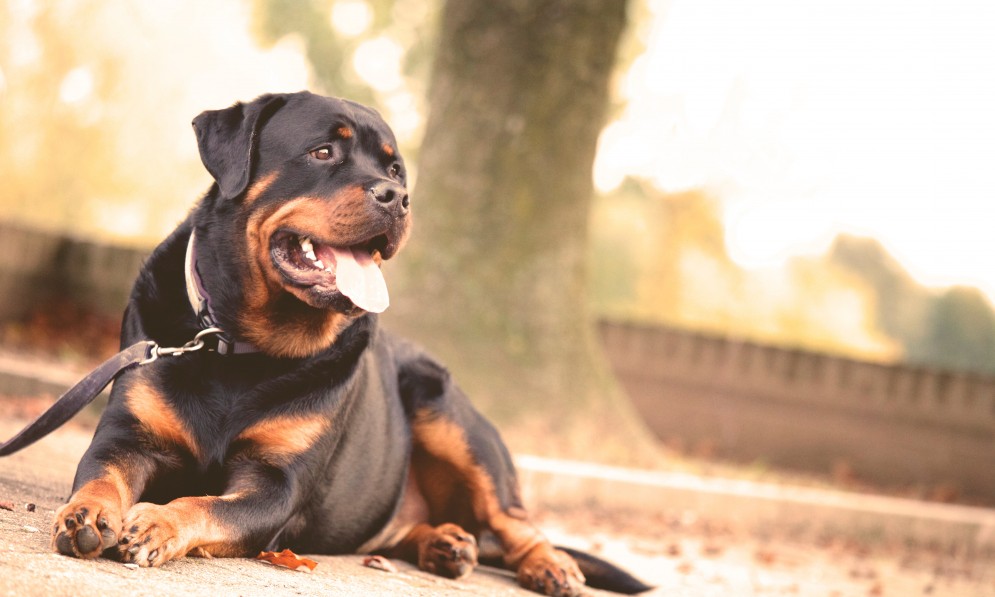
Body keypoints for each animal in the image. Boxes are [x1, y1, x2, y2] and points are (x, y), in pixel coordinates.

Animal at [50, 91, 648, 592]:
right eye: (322, 151)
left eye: (395, 169)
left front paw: (157, 520)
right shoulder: (128, 434)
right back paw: (445, 543)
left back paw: (550, 565)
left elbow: (206, 503)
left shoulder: (276, 485)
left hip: (449, 416)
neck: (237, 342)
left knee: (516, 521)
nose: (397, 195)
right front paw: (88, 514)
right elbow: (100, 472)